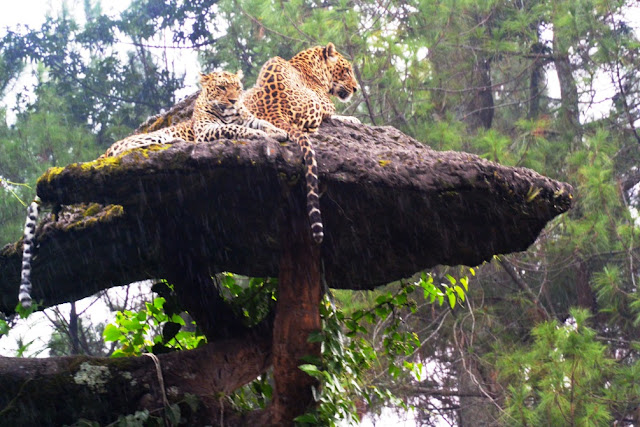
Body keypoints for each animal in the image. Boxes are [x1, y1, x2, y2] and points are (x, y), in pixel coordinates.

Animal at [242, 44, 360, 246]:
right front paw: (353, 119)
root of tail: (274, 110)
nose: (356, 88)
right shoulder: (326, 105)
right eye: (346, 71)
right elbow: (334, 115)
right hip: (314, 107)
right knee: (312, 127)